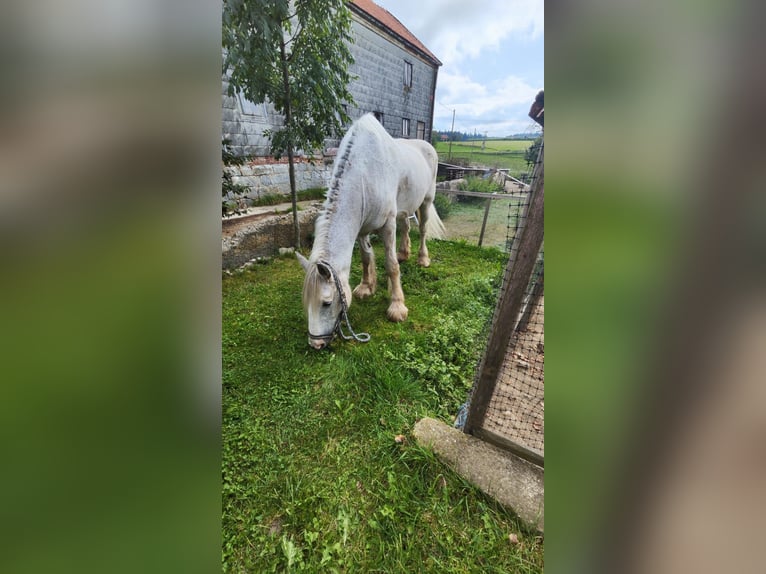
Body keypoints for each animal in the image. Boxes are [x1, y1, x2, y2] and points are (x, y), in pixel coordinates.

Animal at [296, 113, 446, 349]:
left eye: (326, 303)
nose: (316, 343)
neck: (364, 174)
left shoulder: (388, 225)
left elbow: (391, 266)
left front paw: (397, 307)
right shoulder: (362, 229)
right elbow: (366, 258)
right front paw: (367, 287)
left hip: (426, 201)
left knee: (422, 230)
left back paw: (422, 259)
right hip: (404, 209)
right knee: (406, 226)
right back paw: (404, 253)